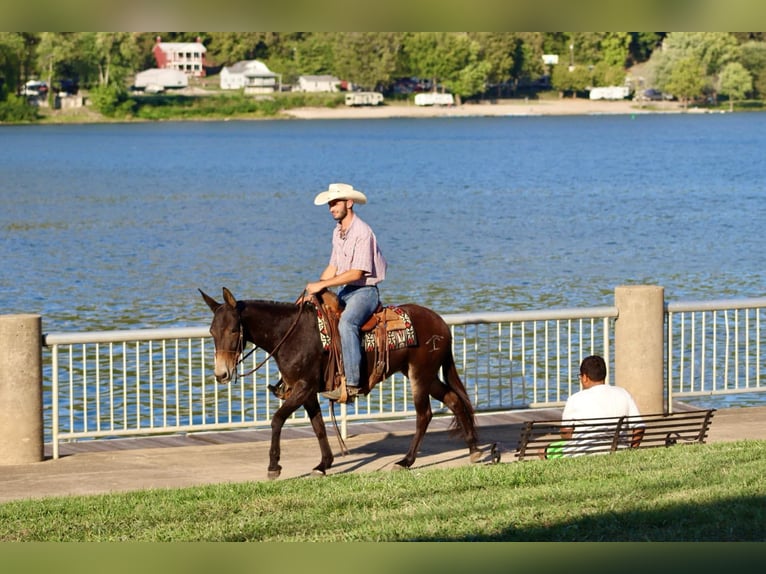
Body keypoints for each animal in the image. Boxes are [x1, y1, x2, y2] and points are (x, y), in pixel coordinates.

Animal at [200, 287, 482, 479]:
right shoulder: (308, 391)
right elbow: (318, 427)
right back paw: (473, 450)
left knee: (424, 415)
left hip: (420, 376)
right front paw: (324, 464)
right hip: (428, 376)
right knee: (455, 400)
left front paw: (274, 466)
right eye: (212, 331)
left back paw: (406, 461)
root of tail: (442, 324)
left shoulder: (303, 387)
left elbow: (278, 419)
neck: (290, 334)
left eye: (233, 330)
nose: (221, 373)